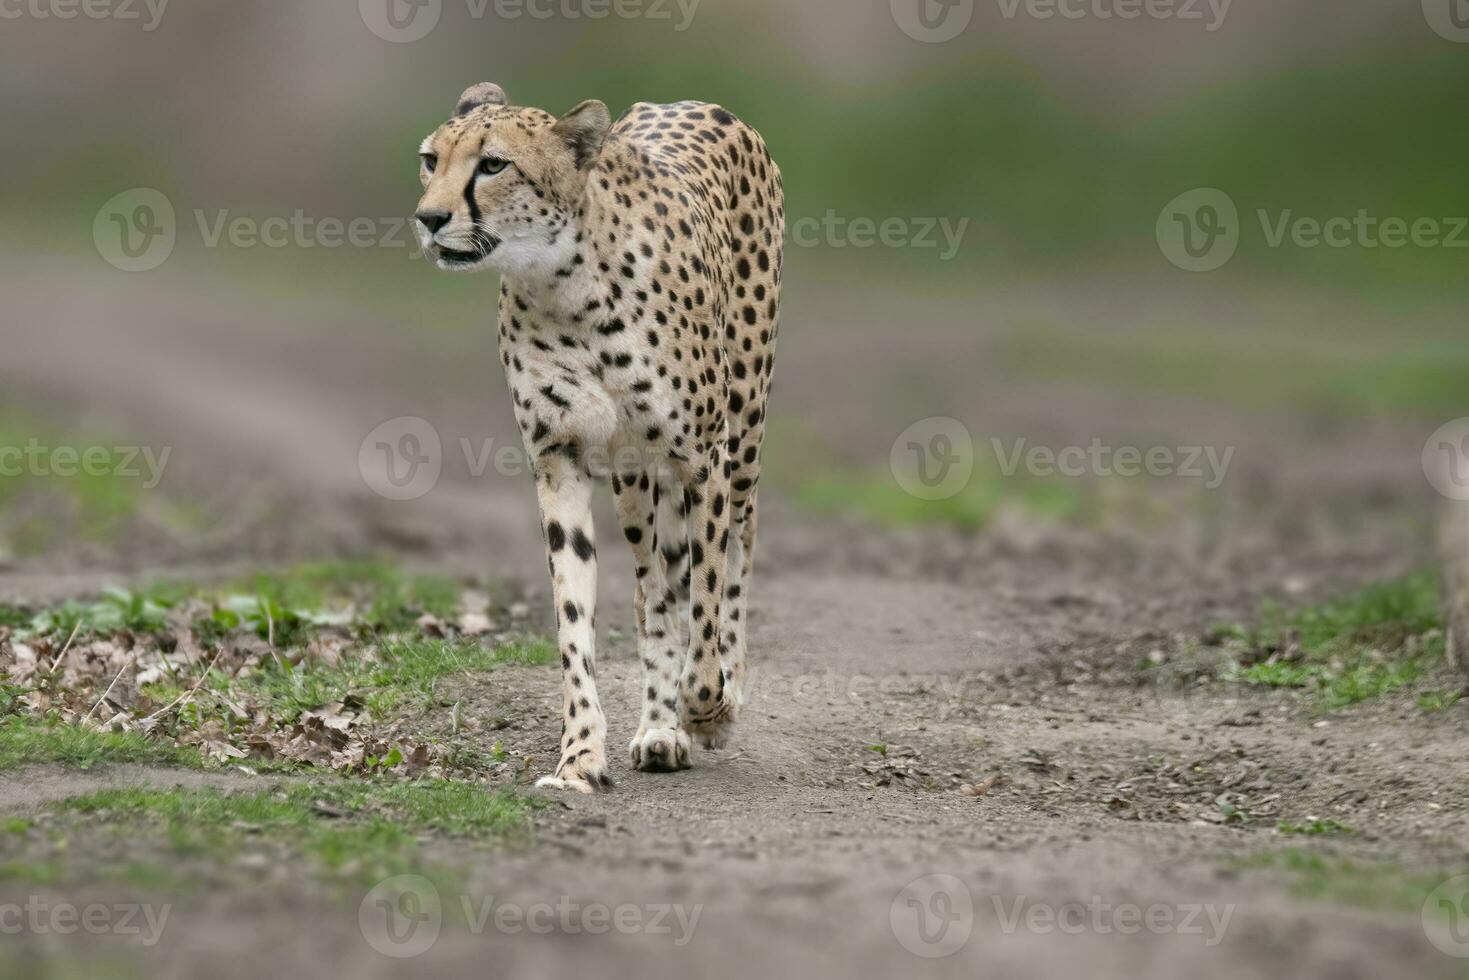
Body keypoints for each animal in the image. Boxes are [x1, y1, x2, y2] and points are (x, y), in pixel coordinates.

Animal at [414, 80, 781, 793]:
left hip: (743, 430)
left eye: (492, 165)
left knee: (738, 551)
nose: (429, 218)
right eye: (429, 159)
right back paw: (660, 729)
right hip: (636, 473)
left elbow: (709, 593)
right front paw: (581, 755)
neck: (566, 284)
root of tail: (688, 101)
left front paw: (708, 702)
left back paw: (716, 698)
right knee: (653, 586)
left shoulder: (704, 457)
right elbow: (577, 618)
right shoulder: (560, 457)